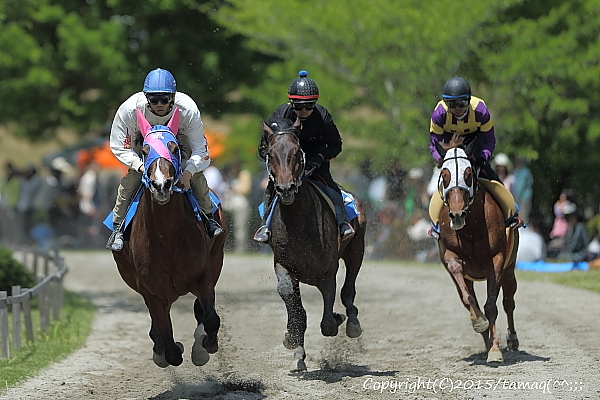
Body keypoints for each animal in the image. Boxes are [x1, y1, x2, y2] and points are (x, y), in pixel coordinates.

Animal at [111, 108, 226, 368]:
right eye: (144, 151)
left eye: (173, 149)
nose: (161, 185)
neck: (167, 237)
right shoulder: (152, 290)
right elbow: (166, 335)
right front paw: (165, 350)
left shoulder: (203, 276)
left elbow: (211, 318)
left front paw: (204, 347)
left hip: (217, 258)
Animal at [258, 115, 366, 372]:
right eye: (271, 154)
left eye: (297, 152)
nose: (285, 189)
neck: (299, 224)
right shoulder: (284, 265)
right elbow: (289, 295)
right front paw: (292, 340)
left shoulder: (327, 270)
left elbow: (328, 323)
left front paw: (337, 318)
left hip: (356, 249)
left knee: (348, 290)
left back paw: (351, 321)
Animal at [436, 137, 520, 362]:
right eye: (444, 176)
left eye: (468, 174)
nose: (457, 215)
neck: (472, 226)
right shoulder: (452, 257)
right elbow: (468, 297)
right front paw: (480, 323)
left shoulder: (497, 259)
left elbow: (491, 305)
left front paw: (495, 350)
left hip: (509, 269)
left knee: (509, 302)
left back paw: (511, 340)